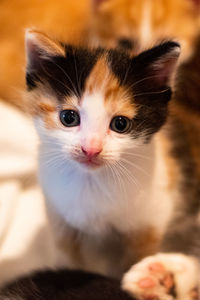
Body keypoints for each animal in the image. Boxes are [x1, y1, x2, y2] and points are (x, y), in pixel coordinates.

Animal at [23, 28, 200, 300]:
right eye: (68, 117)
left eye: (120, 124)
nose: (90, 149)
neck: (92, 182)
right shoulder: (60, 219)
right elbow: (68, 260)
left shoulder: (150, 220)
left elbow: (133, 257)